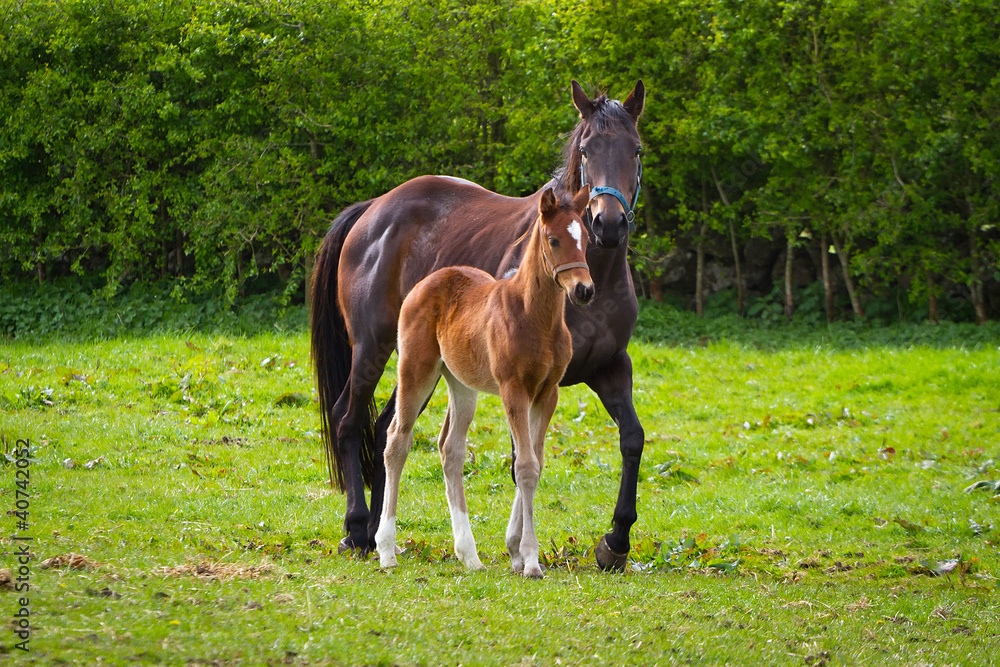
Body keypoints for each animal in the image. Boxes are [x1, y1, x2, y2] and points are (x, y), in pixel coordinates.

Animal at [376, 185, 592, 576]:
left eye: (585, 239)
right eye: (553, 240)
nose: (584, 290)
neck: (535, 318)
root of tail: (426, 282)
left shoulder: (547, 393)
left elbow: (535, 462)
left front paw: (516, 550)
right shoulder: (513, 389)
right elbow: (525, 466)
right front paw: (531, 559)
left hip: (462, 385)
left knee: (450, 449)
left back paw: (468, 554)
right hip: (416, 370)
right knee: (397, 440)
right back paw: (386, 550)